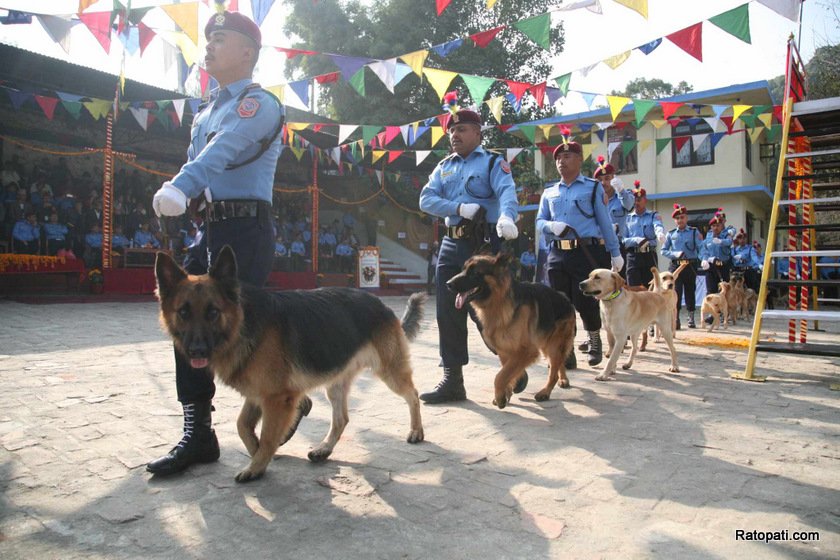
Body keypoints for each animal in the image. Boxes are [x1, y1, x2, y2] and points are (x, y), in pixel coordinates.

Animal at [154, 247, 426, 484]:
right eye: (184, 312)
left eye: (213, 312)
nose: (196, 351)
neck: (243, 323)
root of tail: (382, 305)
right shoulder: (258, 394)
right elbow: (243, 426)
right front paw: (260, 452)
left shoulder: (275, 397)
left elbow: (265, 435)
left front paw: (257, 465)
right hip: (335, 384)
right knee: (341, 419)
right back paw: (324, 448)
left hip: (390, 372)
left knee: (413, 394)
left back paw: (416, 431)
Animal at [446, 253, 576, 406]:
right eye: (463, 269)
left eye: (474, 273)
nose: (447, 283)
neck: (498, 302)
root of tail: (565, 298)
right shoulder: (504, 350)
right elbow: (506, 373)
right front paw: (506, 392)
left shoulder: (526, 351)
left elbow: (500, 376)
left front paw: (501, 397)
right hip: (547, 344)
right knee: (559, 362)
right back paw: (563, 379)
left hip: (553, 345)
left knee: (554, 370)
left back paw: (545, 392)